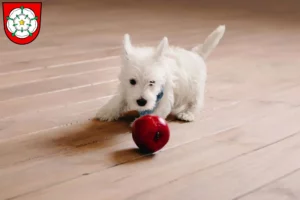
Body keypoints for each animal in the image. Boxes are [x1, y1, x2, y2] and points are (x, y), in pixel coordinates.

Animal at [96, 25, 225, 123]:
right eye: (132, 81)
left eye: (152, 82)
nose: (141, 102)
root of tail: (197, 53)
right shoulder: (124, 89)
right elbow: (118, 100)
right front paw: (105, 112)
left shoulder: (165, 98)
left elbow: (157, 112)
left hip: (195, 88)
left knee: (196, 102)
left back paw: (188, 114)